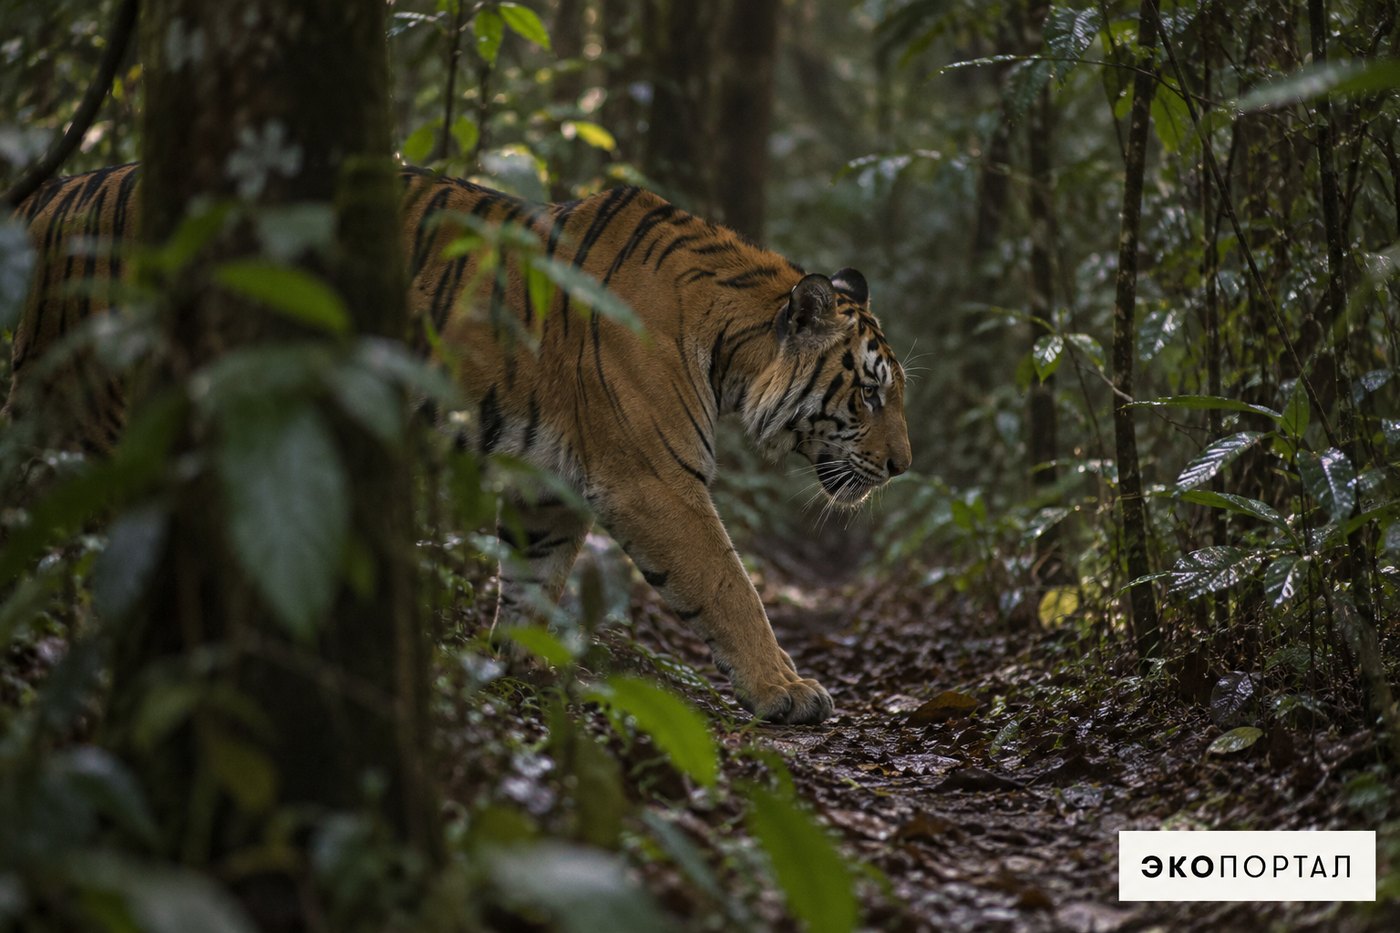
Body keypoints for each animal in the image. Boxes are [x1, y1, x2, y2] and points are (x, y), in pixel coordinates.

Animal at [6, 163, 912, 725]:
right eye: (869, 393)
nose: (904, 466)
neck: (729, 344)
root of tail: (52, 192)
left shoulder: (551, 490)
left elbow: (535, 584)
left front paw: (519, 672)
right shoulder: (656, 481)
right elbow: (731, 586)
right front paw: (786, 690)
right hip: (97, 420)